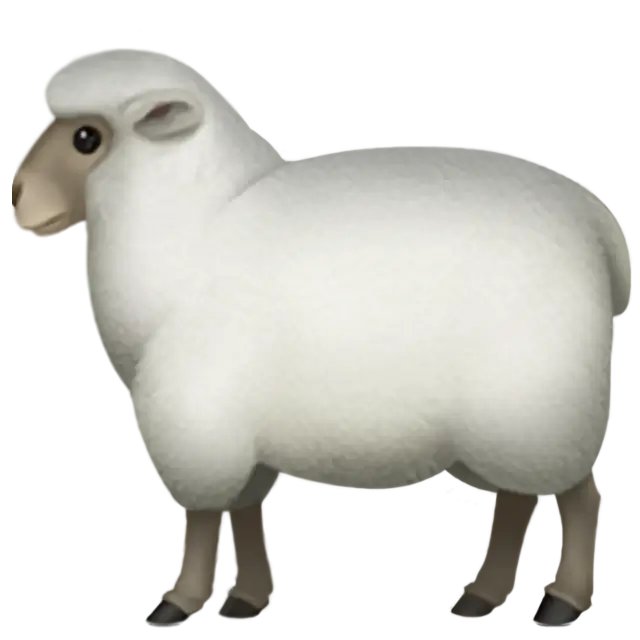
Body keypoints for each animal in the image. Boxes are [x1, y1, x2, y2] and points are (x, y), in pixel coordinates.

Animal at [6, 40, 637, 631]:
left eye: (86, 138)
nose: (12, 195)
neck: (198, 227)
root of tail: (585, 209)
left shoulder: (199, 411)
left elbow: (200, 522)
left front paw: (178, 605)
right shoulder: (245, 428)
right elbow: (247, 517)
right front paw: (244, 599)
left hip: (538, 401)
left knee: (575, 496)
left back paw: (563, 603)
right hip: (495, 423)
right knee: (514, 506)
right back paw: (476, 601)